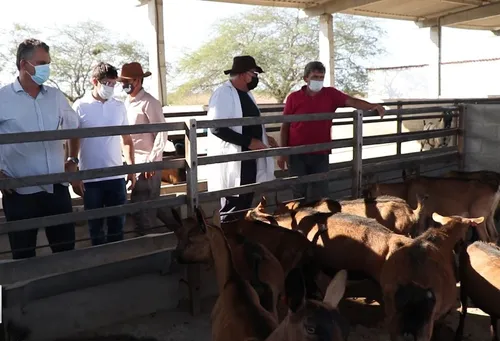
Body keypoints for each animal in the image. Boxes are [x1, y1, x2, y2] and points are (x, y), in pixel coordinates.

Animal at [364, 177, 500, 243]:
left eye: (371, 193)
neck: (406, 189)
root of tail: (494, 189)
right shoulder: (430, 215)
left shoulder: (422, 214)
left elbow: (419, 231)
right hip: (489, 216)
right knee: (494, 236)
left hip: (479, 216)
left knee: (486, 237)